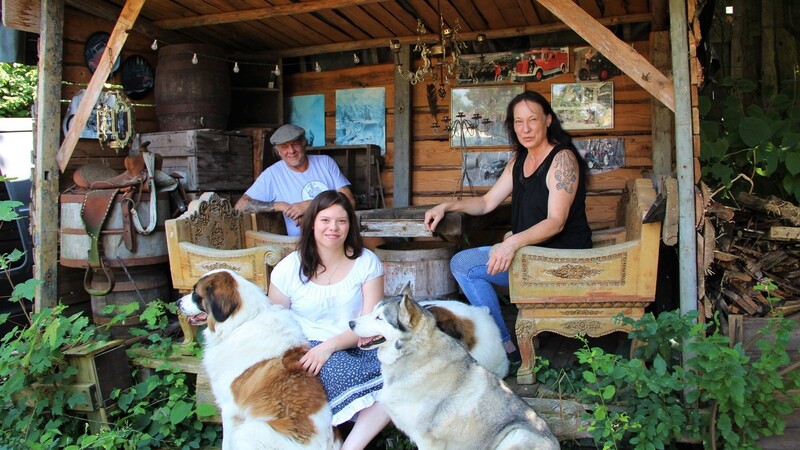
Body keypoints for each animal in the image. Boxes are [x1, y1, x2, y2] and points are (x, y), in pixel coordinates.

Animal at [178, 268, 338, 448]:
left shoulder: (229, 409)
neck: (242, 321)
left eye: (195, 293)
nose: (177, 302)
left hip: (249, 431)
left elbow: (226, 443)